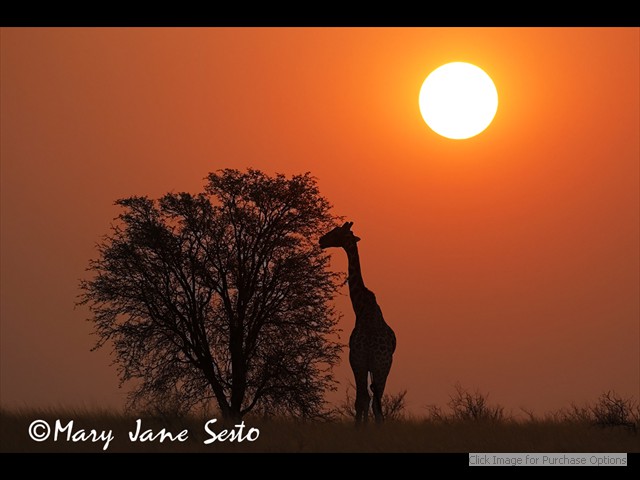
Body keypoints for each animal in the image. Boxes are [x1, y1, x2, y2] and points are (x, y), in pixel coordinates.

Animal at [319, 221, 396, 424]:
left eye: (337, 232)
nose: (321, 240)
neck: (361, 308)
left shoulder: (354, 359)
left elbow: (360, 401)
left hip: (366, 363)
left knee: (366, 399)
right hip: (382, 367)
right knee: (376, 403)